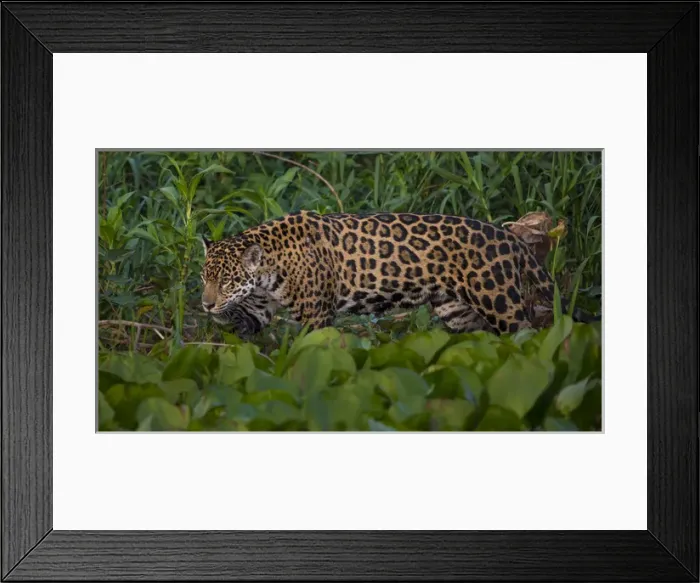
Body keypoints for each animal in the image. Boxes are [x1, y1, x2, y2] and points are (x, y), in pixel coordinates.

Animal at [200, 210, 584, 338]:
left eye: (228, 281)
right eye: (205, 278)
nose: (205, 304)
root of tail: (509, 237)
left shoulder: (316, 316)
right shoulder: (260, 306)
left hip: (500, 301)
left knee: (525, 337)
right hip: (457, 311)